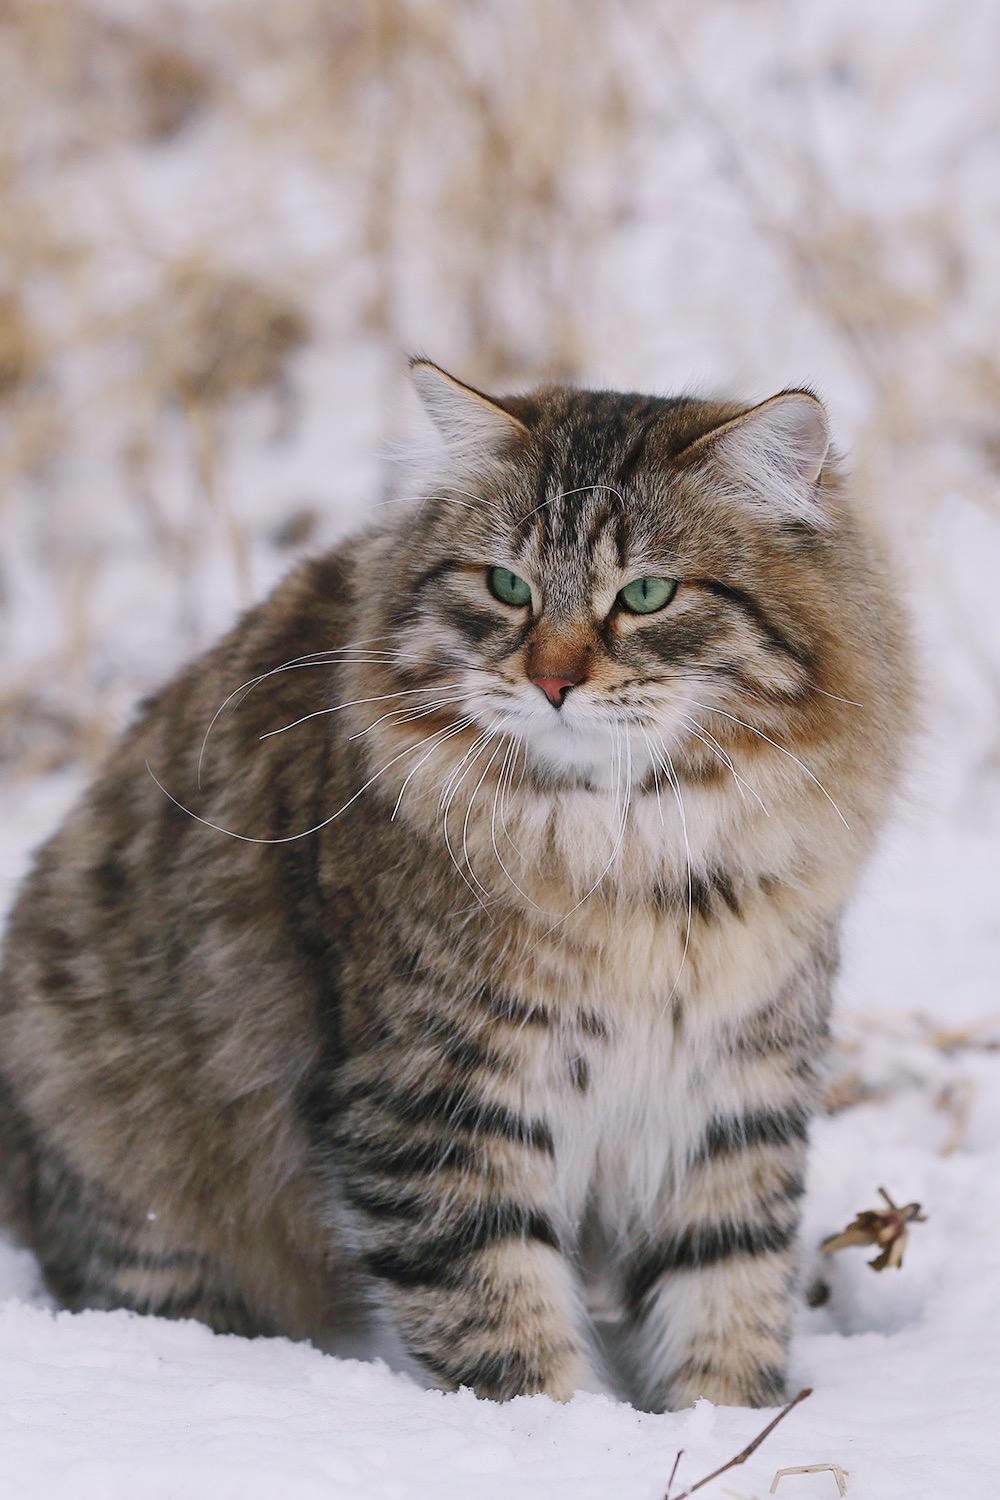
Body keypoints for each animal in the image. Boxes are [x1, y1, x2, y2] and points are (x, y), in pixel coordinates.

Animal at [0, 360, 917, 1404]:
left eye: (646, 594)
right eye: (506, 586)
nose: (553, 682)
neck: (640, 866)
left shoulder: (736, 1091)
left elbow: (727, 1295)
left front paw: (722, 1422)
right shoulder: (439, 1103)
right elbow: (505, 1328)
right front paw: (573, 1429)